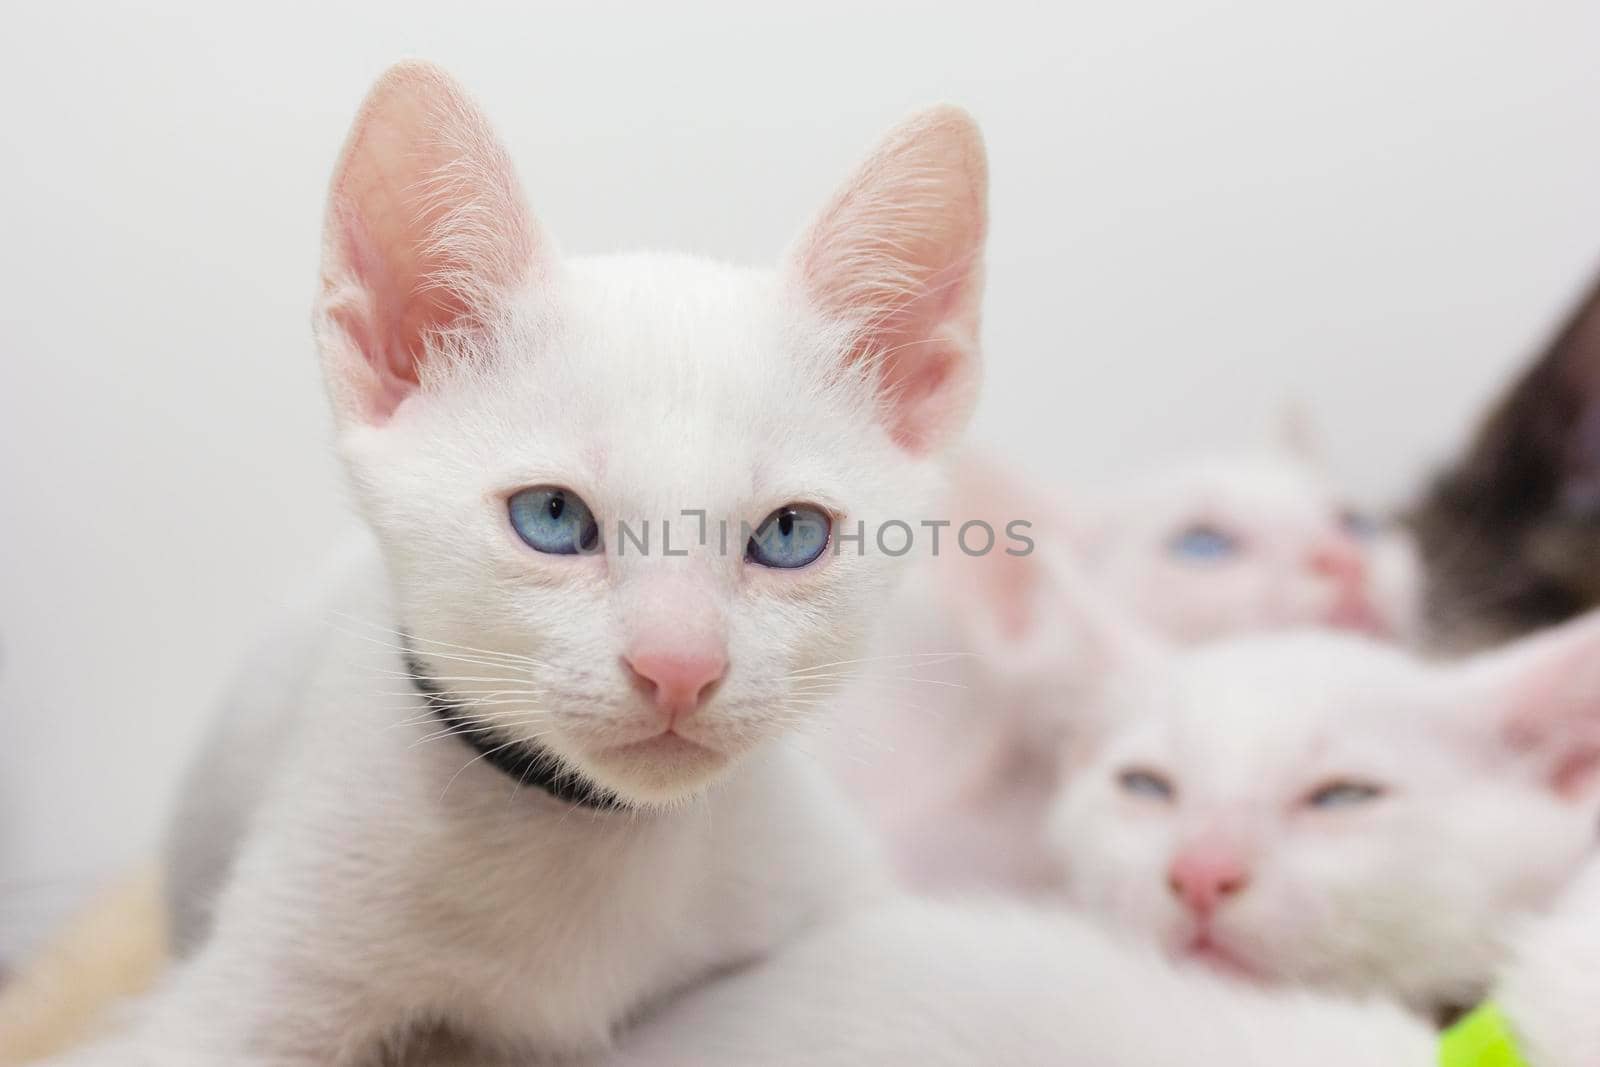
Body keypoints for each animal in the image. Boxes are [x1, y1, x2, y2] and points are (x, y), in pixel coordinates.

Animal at [40, 60, 985, 1067]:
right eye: (553, 517)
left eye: (791, 534)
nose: (679, 666)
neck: (590, 839)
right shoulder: (241, 986)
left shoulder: (836, 903)